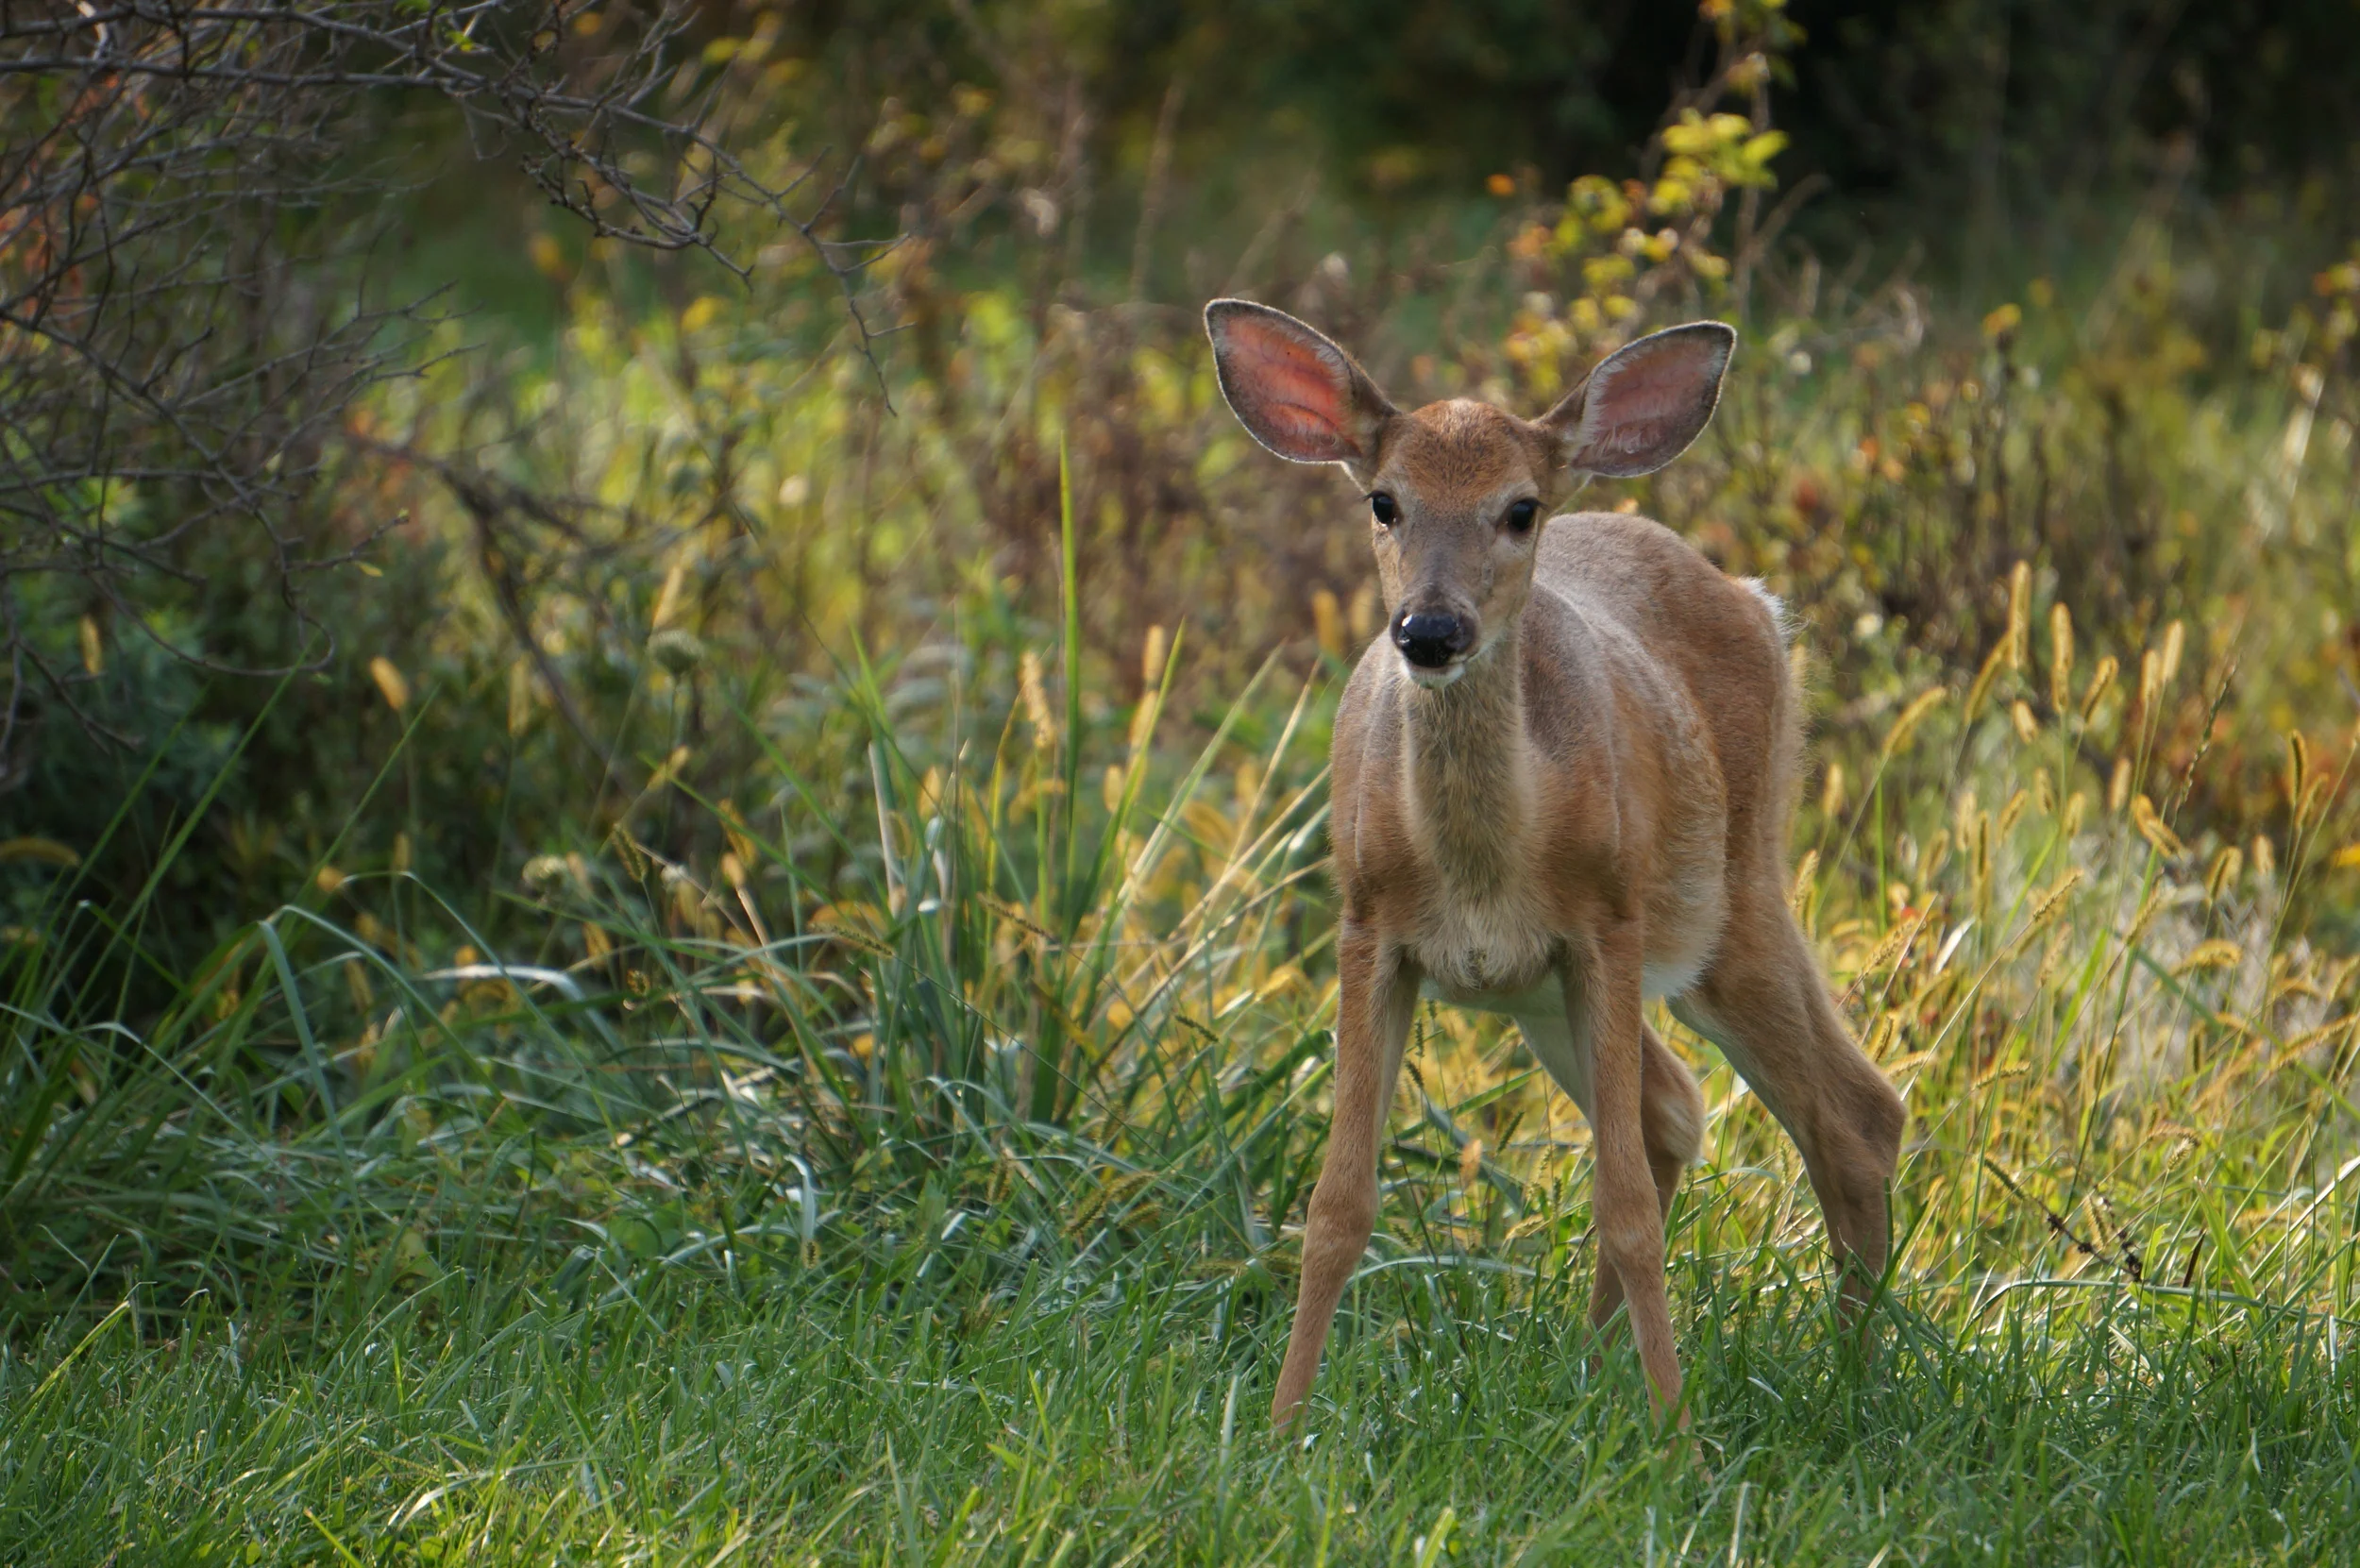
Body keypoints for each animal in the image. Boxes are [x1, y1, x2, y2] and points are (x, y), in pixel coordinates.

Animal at [1202, 299, 1908, 1432]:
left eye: (1520, 509)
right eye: (1384, 500)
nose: (1430, 628)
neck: (1482, 864)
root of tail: (1756, 598)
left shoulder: (1604, 924)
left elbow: (1625, 1208)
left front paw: (1677, 1441)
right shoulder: (1369, 925)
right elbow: (1337, 1203)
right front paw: (1279, 1427)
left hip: (1731, 896)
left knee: (1853, 1115)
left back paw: (1852, 1379)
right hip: (1544, 995)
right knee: (1676, 1108)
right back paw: (1593, 1369)